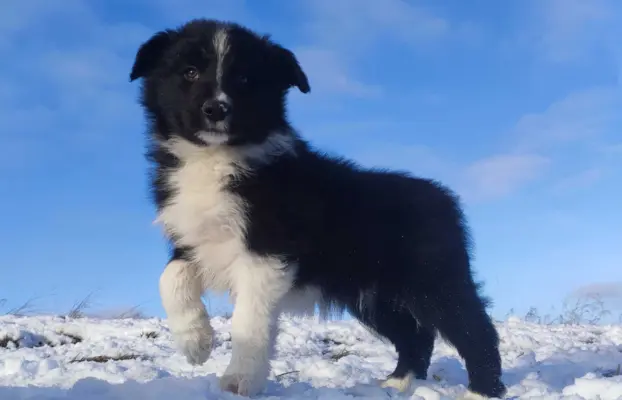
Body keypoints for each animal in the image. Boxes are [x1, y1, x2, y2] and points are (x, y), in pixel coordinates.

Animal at [128, 18, 508, 396]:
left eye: (245, 79)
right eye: (189, 72)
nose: (216, 109)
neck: (215, 158)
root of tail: (443, 197)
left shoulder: (267, 252)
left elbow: (249, 319)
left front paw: (240, 380)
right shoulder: (193, 240)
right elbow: (170, 277)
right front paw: (195, 342)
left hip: (434, 279)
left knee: (474, 329)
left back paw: (480, 390)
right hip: (375, 296)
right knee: (415, 335)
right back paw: (399, 382)